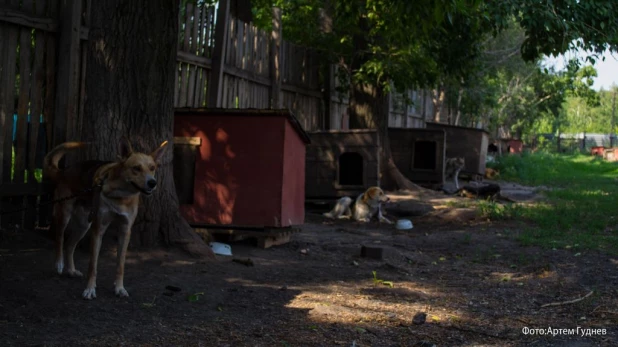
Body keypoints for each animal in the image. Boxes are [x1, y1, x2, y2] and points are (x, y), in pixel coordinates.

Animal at [43, 138, 167, 300]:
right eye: (136, 168)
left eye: (152, 168)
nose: (152, 183)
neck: (120, 194)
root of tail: (64, 171)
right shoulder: (98, 230)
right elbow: (93, 265)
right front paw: (90, 289)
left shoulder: (125, 231)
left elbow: (120, 265)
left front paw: (119, 288)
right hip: (65, 214)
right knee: (60, 238)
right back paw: (59, 263)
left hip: (84, 225)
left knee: (69, 245)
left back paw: (71, 270)